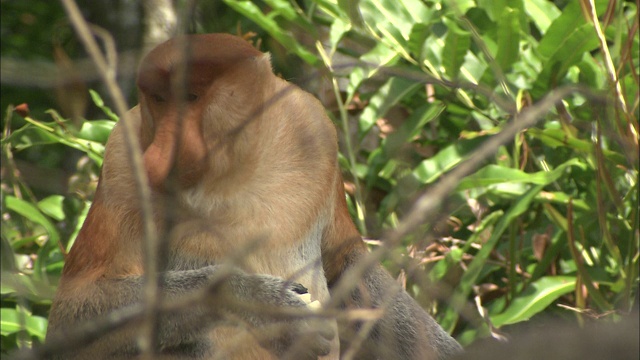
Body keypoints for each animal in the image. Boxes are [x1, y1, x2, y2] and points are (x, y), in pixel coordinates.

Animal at [47, 33, 462, 360]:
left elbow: (346, 263)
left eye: (191, 96)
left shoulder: (315, 128)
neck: (236, 170)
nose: (158, 155)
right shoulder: (121, 158)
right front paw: (267, 306)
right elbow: (73, 314)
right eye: (160, 99)